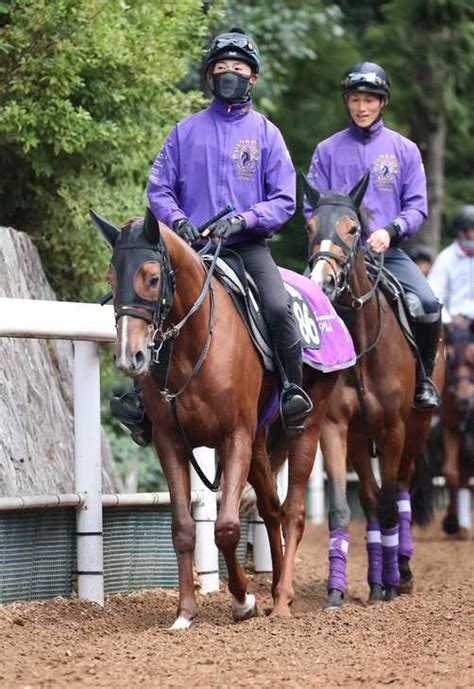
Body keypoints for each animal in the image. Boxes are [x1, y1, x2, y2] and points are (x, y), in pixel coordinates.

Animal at [91, 208, 336, 624]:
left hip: (307, 425)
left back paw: (283, 599)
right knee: (271, 508)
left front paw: (242, 600)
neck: (193, 343)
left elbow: (226, 528)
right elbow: (183, 528)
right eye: (111, 276)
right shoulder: (171, 442)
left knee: (293, 511)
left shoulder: (233, 436)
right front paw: (186, 612)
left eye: (152, 277)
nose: (129, 356)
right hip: (259, 442)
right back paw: (275, 591)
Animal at [304, 175, 444, 604]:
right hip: (360, 439)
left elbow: (387, 506)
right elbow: (344, 507)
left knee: (398, 492)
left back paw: (401, 571)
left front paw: (392, 584)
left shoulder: (395, 430)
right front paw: (337, 590)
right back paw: (377, 577)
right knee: (368, 496)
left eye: (353, 229)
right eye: (310, 227)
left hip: (415, 430)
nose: (323, 281)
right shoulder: (336, 429)